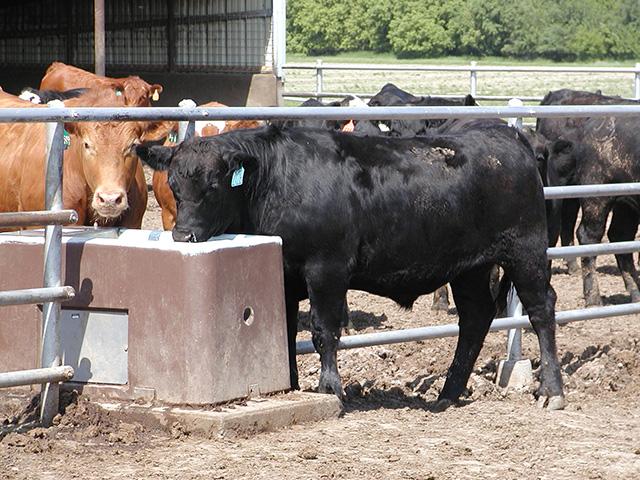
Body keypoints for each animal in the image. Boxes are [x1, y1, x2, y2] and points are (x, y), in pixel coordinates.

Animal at [136, 124, 566, 411]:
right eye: (173, 186)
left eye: (214, 186)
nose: (184, 235)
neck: (277, 181)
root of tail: (506, 135)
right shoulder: (285, 275)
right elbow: (286, 332)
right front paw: (291, 384)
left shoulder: (326, 269)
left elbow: (324, 330)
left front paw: (330, 388)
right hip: (470, 269)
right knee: (475, 318)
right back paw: (446, 394)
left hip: (525, 251)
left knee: (541, 309)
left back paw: (551, 390)